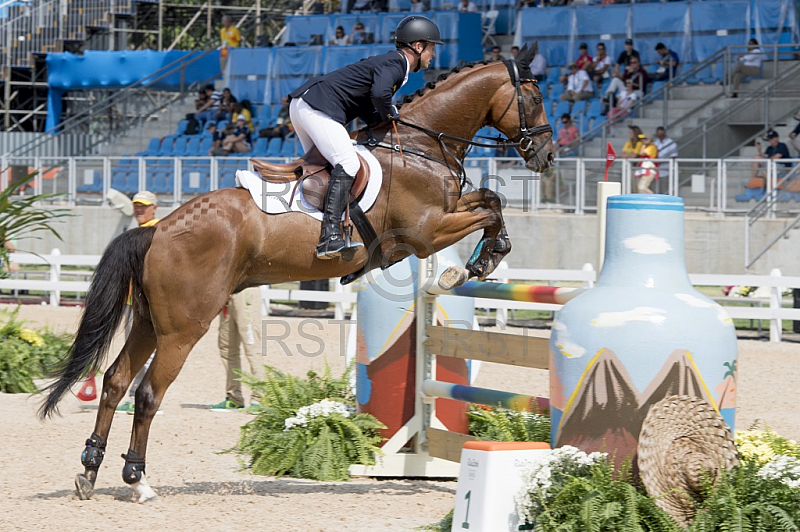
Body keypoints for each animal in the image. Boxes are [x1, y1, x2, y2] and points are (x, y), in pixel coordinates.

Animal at [37, 42, 552, 502]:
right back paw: (138, 480)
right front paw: (478, 261)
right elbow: (489, 206)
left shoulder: (443, 216)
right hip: (183, 327)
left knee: (115, 382)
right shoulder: (427, 230)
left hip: (148, 320)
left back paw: (89, 471)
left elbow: (490, 199)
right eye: (534, 97)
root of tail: (157, 229)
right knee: (146, 394)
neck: (422, 145)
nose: (545, 156)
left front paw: (485, 256)